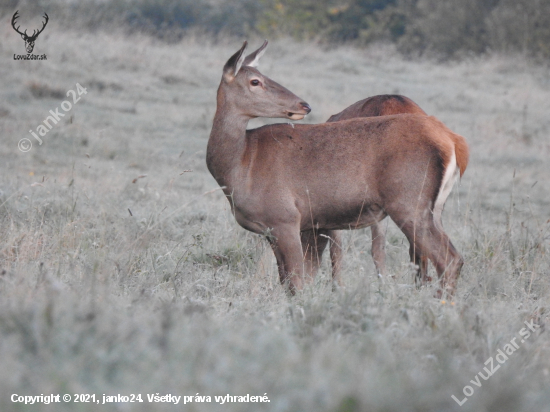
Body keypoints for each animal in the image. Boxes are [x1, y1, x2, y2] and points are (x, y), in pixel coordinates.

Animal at [207, 41, 470, 296]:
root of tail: (453, 141)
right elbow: (286, 281)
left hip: (407, 200)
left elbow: (297, 283)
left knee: (446, 259)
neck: (241, 166)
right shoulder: (274, 231)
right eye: (256, 80)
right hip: (434, 207)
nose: (304, 105)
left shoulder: (286, 218)